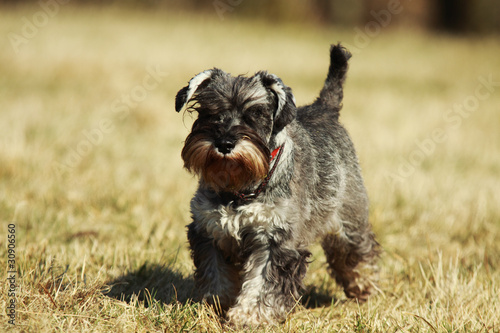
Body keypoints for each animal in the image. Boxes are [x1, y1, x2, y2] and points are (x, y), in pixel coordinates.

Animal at [175, 43, 378, 324]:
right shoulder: (209, 231)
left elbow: (262, 282)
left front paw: (249, 316)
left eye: (256, 114)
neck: (240, 190)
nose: (225, 143)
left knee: (358, 254)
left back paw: (364, 288)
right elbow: (215, 275)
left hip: (349, 220)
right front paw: (213, 306)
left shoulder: (276, 241)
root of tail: (324, 108)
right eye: (209, 112)